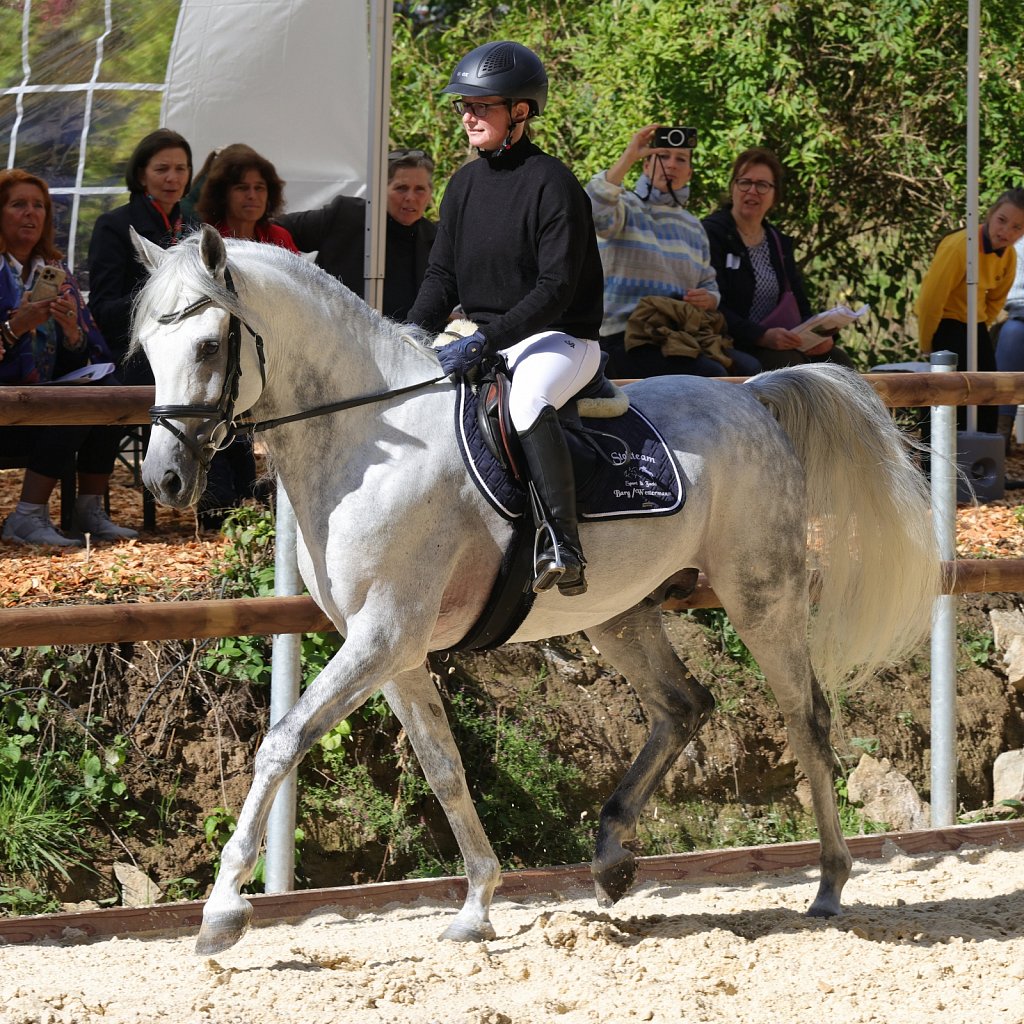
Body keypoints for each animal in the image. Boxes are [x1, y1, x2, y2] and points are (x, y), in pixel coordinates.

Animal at [132, 225, 941, 955]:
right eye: (147, 352)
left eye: (209, 347)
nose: (163, 480)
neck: (370, 441)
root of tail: (752, 398)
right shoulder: (393, 652)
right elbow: (443, 768)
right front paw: (477, 905)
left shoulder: (384, 635)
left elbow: (281, 742)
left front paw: (222, 912)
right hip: (619, 613)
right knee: (683, 705)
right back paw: (612, 857)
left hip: (760, 595)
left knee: (805, 718)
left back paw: (829, 884)